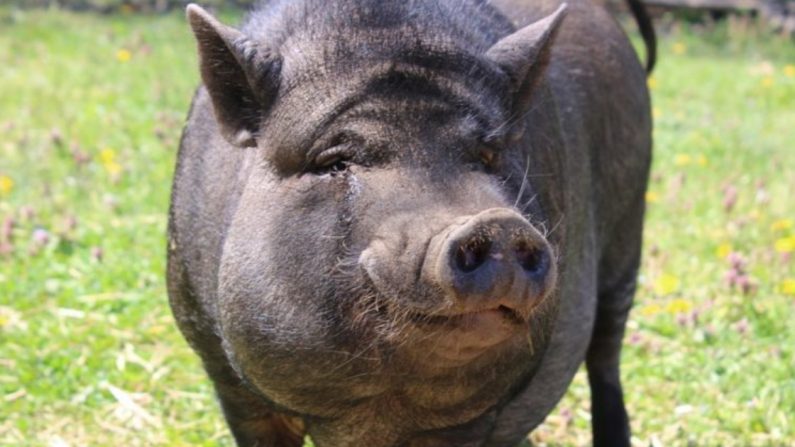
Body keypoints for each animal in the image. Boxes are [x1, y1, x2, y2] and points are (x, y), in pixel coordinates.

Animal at [167, 0, 653, 445]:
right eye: (335, 162)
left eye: (487, 157)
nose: (497, 223)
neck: (375, 417)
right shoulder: (223, 373)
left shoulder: (473, 419)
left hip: (627, 237)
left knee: (606, 357)